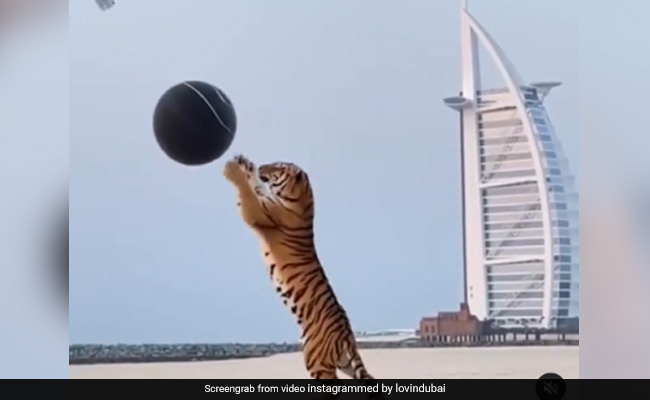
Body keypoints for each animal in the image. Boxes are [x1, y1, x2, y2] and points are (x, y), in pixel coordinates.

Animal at [223, 154, 382, 389]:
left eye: (277, 167)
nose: (261, 166)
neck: (301, 198)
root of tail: (347, 334)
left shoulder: (258, 210)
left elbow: (247, 191)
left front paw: (232, 169)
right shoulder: (264, 199)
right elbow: (256, 186)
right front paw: (245, 164)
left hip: (316, 361)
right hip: (345, 363)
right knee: (368, 377)